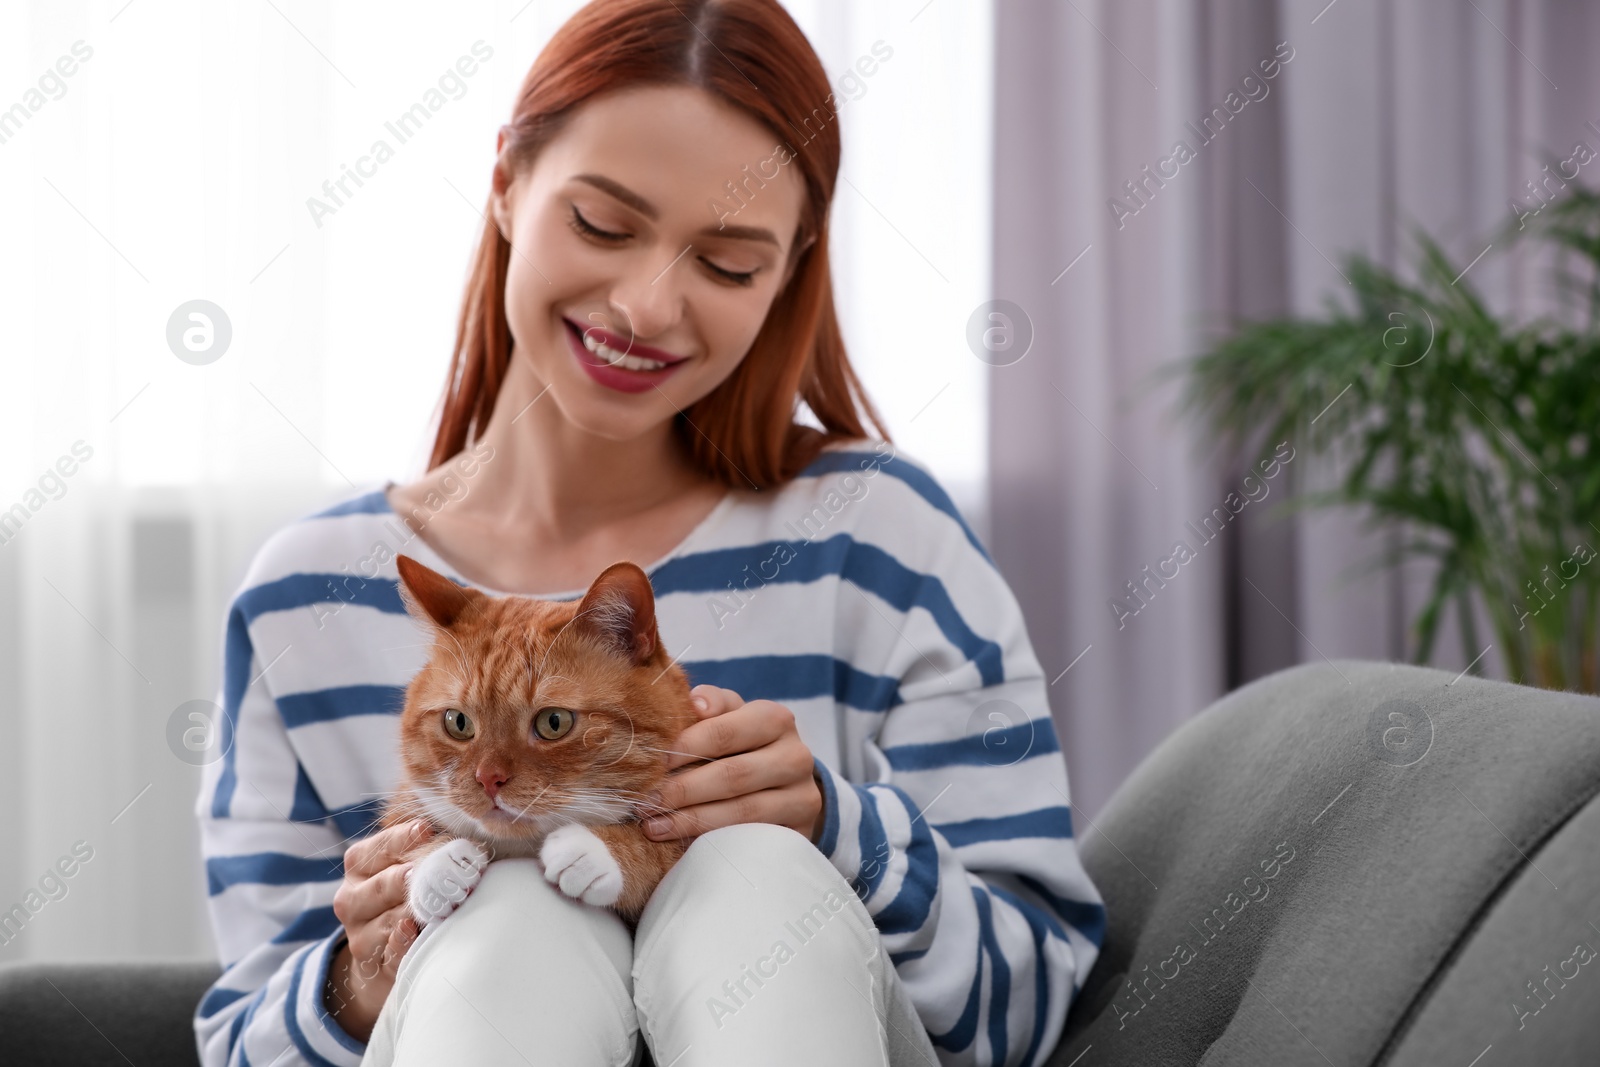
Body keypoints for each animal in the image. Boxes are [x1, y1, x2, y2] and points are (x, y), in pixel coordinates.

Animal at [380, 556, 700, 927]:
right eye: (458, 723)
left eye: (554, 722)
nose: (488, 779)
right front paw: (439, 863)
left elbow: (664, 849)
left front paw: (597, 850)